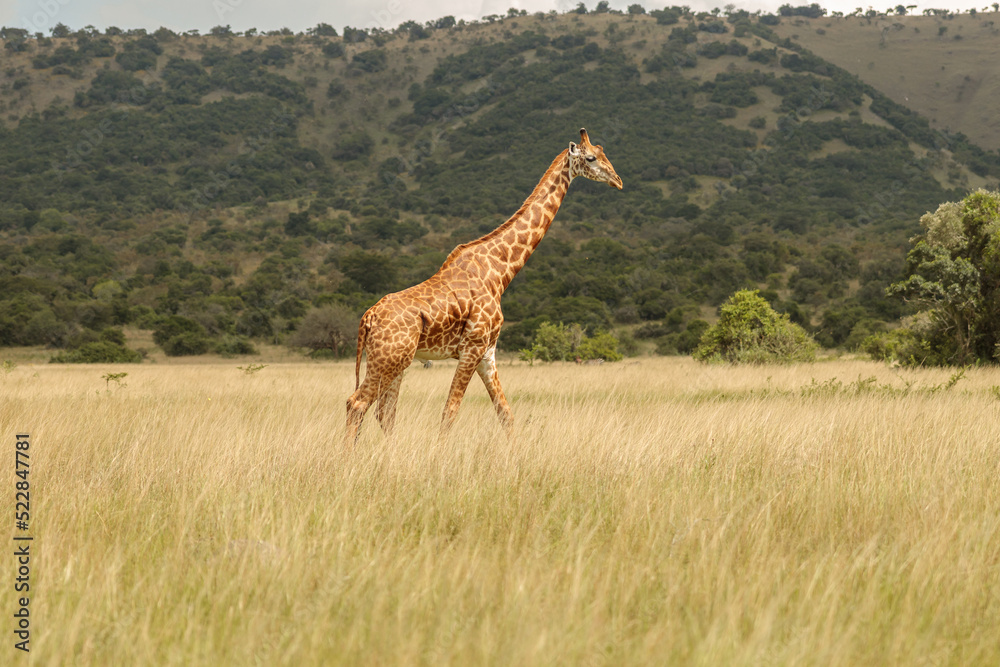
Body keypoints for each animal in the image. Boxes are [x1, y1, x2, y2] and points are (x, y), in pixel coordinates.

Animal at [348, 128, 620, 446]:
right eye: (590, 158)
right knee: (358, 403)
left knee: (384, 412)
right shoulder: (472, 347)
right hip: (389, 359)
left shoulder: (487, 353)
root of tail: (367, 318)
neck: (501, 271)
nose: (617, 180)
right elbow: (450, 411)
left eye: (603, 152)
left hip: (397, 361)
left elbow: (506, 414)